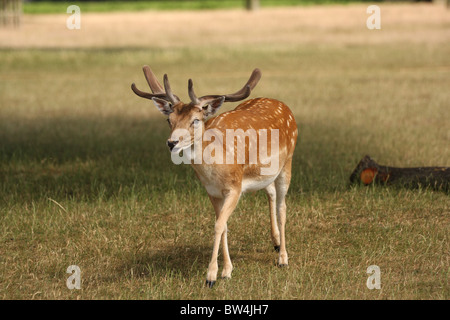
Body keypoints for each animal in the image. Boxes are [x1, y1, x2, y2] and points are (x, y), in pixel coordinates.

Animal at [131, 65, 298, 288]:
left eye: (195, 120)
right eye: (169, 120)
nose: (171, 143)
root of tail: (283, 105)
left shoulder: (235, 187)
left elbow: (218, 225)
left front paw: (211, 276)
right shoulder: (212, 192)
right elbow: (223, 224)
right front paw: (226, 270)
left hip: (287, 162)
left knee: (282, 207)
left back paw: (283, 258)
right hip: (265, 172)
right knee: (270, 192)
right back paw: (276, 243)